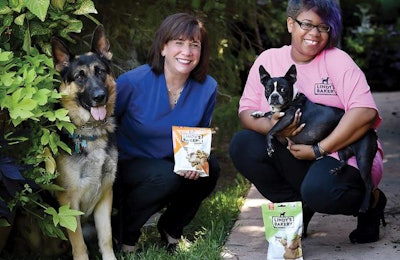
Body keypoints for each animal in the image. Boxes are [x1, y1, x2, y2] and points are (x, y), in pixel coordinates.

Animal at [50, 24, 116, 260]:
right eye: (80, 76)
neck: (91, 132)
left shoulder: (106, 196)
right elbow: (79, 245)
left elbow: (106, 238)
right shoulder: (68, 204)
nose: (99, 96)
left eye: (100, 71)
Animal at [258, 64, 376, 212]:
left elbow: (271, 130)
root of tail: (372, 130)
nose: (274, 96)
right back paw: (337, 169)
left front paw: (269, 146)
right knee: (344, 160)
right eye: (268, 89)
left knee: (369, 184)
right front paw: (258, 113)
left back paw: (364, 206)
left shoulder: (289, 117)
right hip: (343, 149)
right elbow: (269, 113)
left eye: (283, 89)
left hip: (363, 158)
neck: (292, 100)